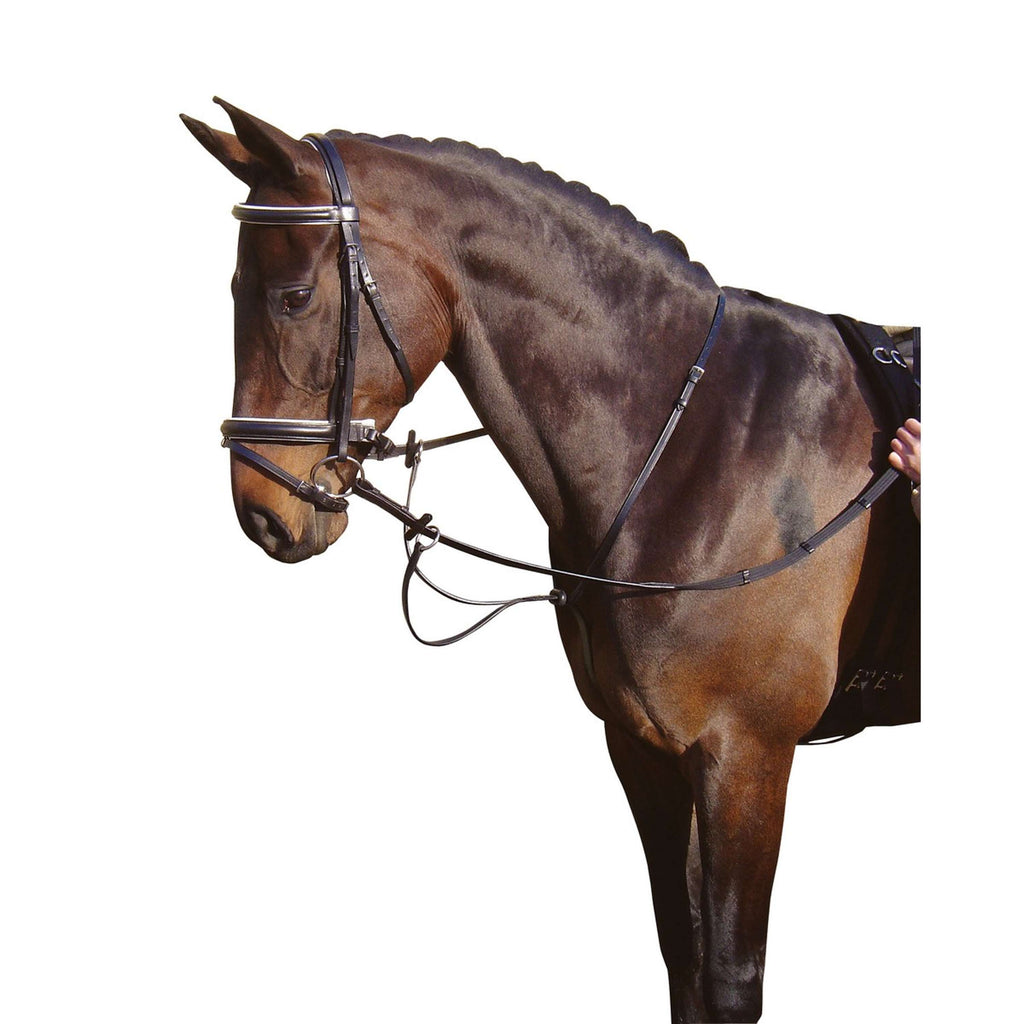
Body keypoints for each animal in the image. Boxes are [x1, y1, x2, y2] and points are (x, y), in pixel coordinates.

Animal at [181, 98, 919, 1023]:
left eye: (293, 297)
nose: (261, 511)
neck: (702, 438)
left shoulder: (746, 754)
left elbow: (727, 978)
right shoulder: (644, 748)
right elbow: (682, 957)